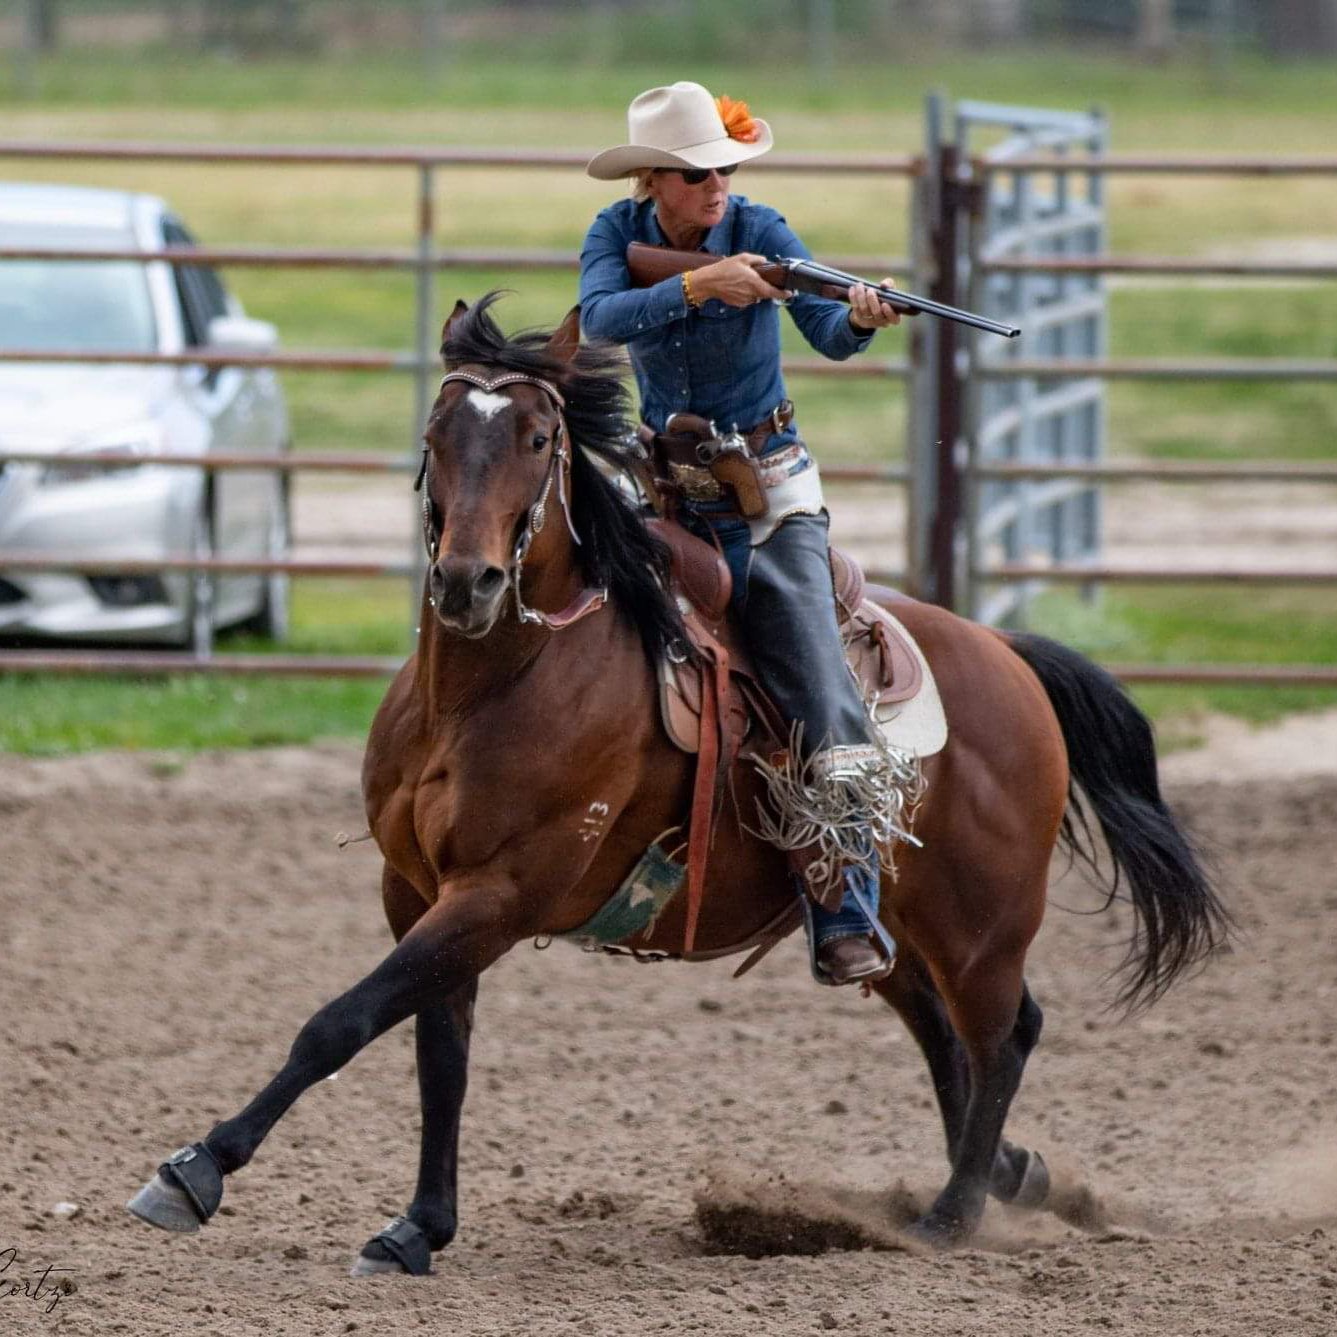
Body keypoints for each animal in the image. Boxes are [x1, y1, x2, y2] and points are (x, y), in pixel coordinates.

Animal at [130, 295, 1224, 1272]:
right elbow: (438, 1054)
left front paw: (195, 1168)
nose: (468, 582)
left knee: (1002, 1035)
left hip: (982, 918)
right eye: (438, 432)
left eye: (537, 436)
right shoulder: (419, 891)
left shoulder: (494, 895)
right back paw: (1009, 1174)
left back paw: (952, 1214)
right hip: (889, 921)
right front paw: (417, 1228)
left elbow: (342, 1020)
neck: (489, 690)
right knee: (945, 1036)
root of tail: (1008, 658)